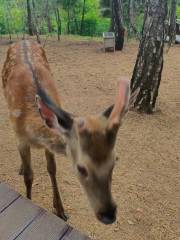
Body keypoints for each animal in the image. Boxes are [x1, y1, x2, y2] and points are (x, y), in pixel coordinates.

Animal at [2, 39, 130, 225]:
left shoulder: (47, 145)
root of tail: (23, 39)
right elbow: (29, 176)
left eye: (115, 161)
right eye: (81, 168)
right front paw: (29, 198)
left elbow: (52, 169)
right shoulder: (21, 138)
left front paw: (60, 210)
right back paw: (21, 167)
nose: (109, 215)